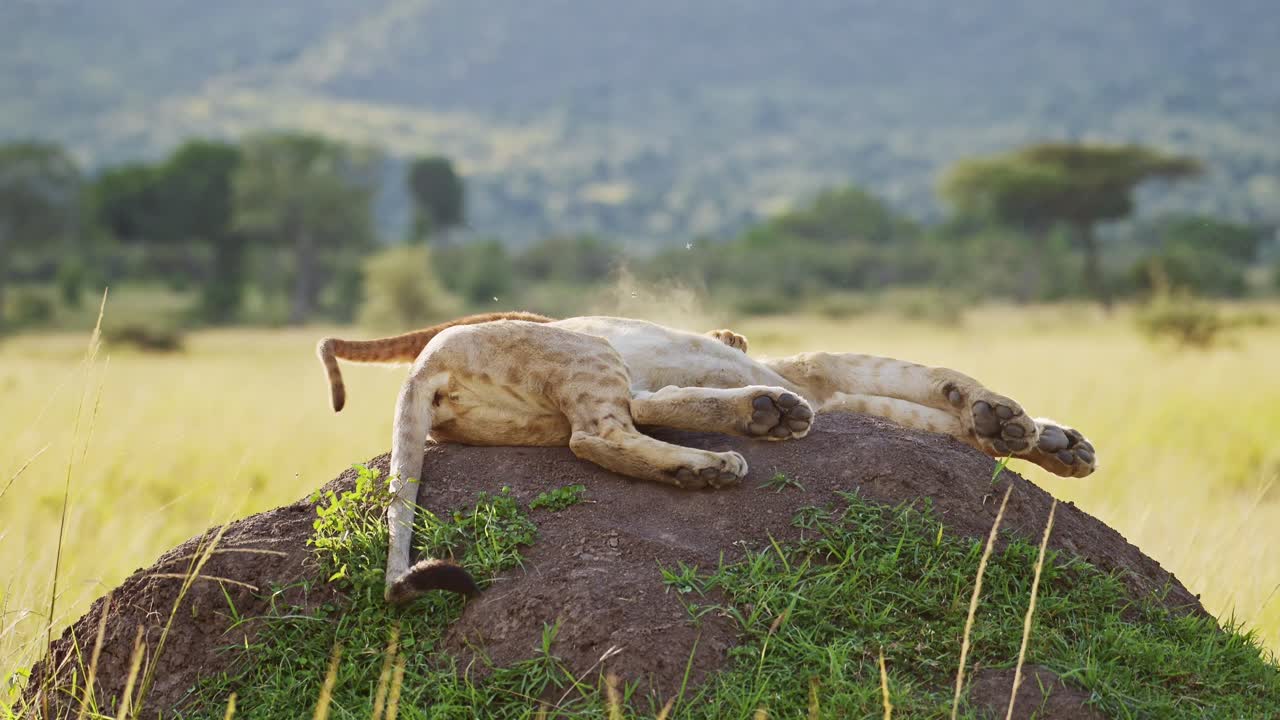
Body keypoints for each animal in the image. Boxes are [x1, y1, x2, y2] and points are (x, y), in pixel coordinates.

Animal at [317, 312, 1095, 604]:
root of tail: (425, 365)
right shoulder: (821, 367)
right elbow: (931, 377)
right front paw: (1003, 416)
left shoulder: (831, 388)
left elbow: (925, 414)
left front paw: (1051, 442)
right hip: (584, 351)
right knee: (599, 432)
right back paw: (721, 456)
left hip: (543, 407)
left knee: (635, 412)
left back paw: (756, 419)